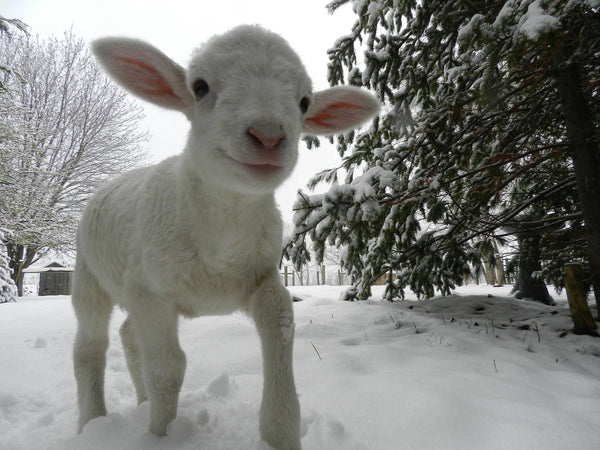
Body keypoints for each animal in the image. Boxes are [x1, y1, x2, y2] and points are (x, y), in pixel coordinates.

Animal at [71, 25, 380, 450]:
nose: (268, 136)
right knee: (90, 347)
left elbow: (281, 324)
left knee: (130, 337)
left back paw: (141, 404)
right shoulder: (150, 290)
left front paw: (280, 433)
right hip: (89, 276)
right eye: (199, 87)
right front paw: (161, 435)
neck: (220, 242)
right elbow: (168, 369)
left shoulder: (262, 277)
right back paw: (92, 421)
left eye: (304, 102)